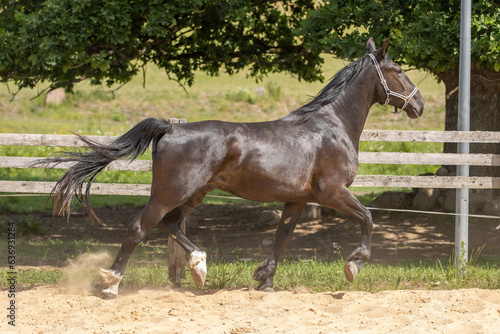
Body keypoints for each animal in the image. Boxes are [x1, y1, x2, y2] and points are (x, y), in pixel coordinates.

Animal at [41, 37, 426, 298]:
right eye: (399, 71)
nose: (419, 104)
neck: (332, 126)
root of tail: (170, 128)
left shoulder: (298, 199)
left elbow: (282, 236)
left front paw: (264, 279)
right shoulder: (331, 192)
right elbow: (367, 217)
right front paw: (353, 264)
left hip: (196, 193)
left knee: (170, 225)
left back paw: (199, 266)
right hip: (171, 192)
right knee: (139, 228)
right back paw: (111, 284)